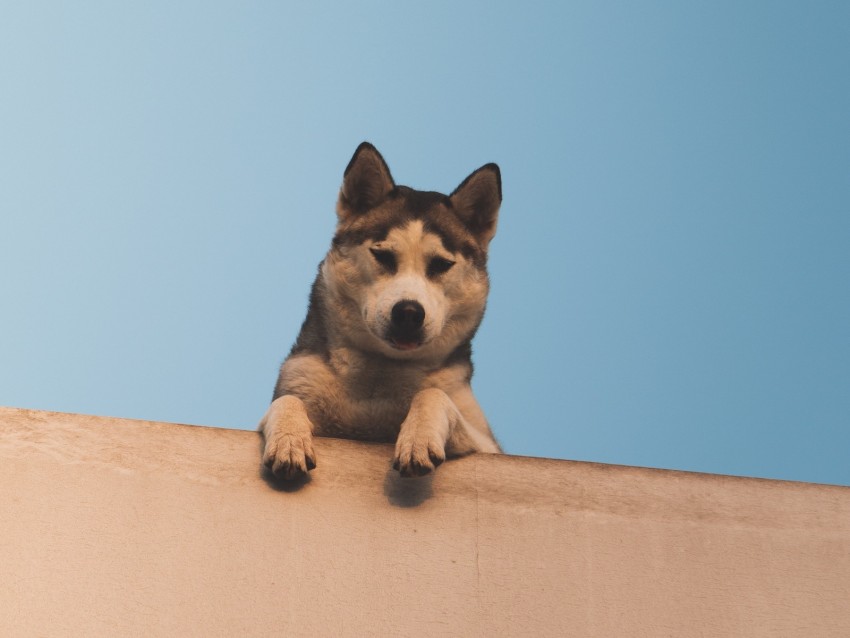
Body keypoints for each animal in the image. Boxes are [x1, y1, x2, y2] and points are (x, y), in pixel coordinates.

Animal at [255, 141, 500, 480]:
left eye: (441, 264)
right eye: (383, 256)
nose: (409, 312)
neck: (381, 375)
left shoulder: (488, 445)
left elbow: (433, 394)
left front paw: (418, 437)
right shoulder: (297, 378)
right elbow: (286, 400)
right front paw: (290, 439)